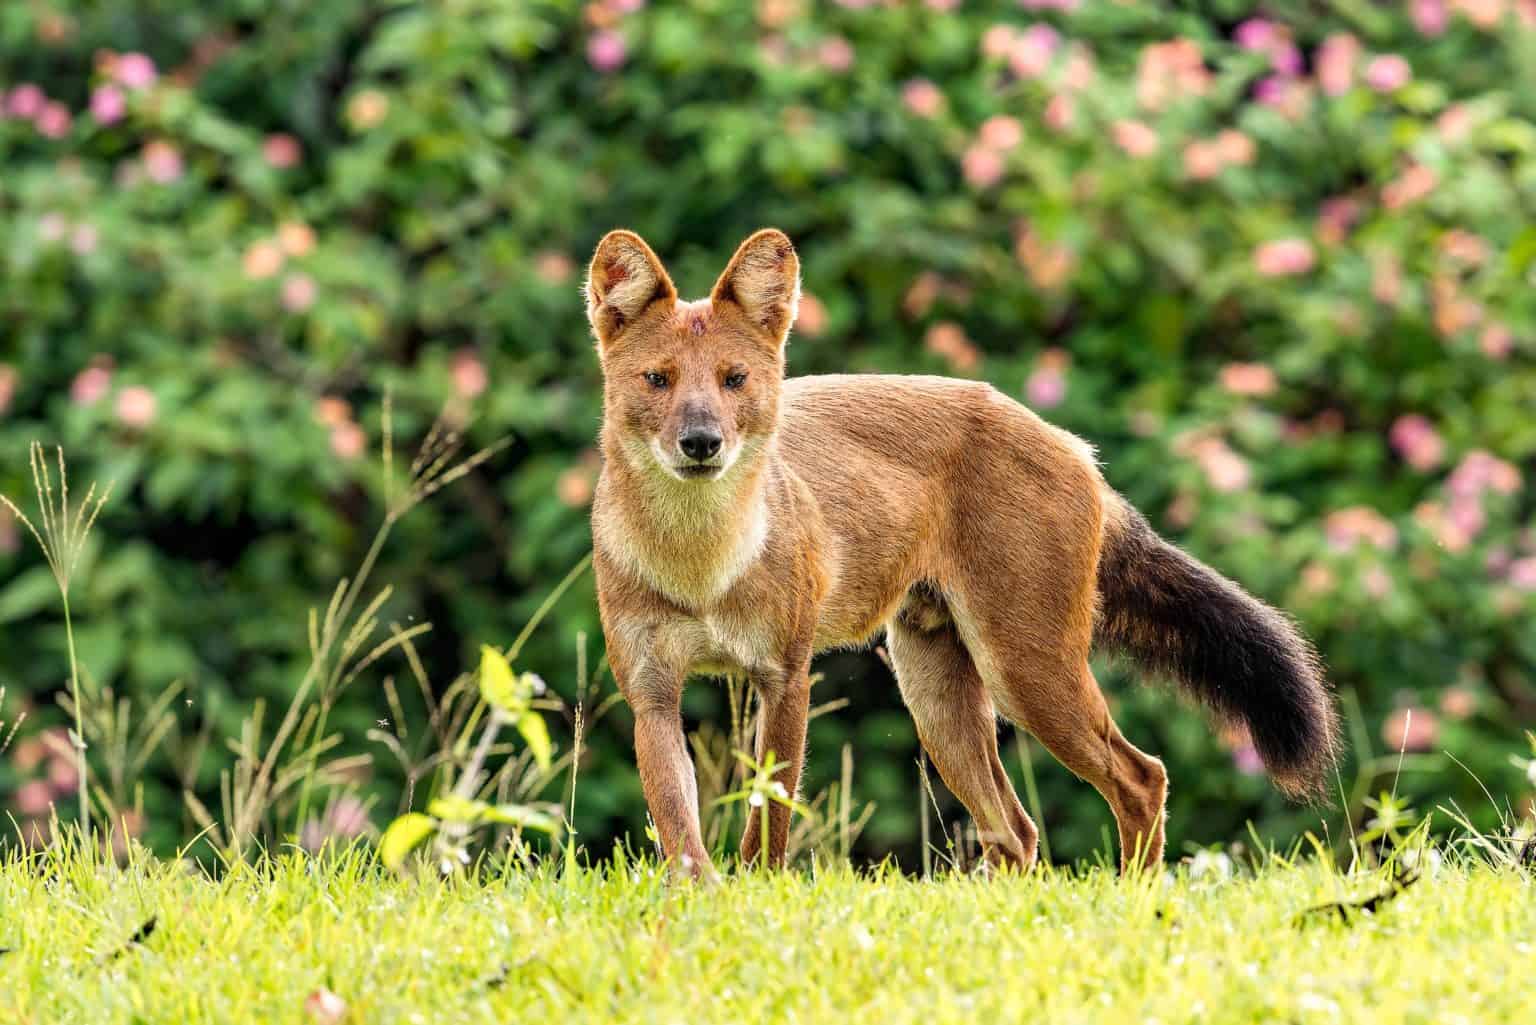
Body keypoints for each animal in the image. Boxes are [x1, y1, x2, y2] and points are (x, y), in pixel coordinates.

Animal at [583, 230, 1333, 885]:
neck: (701, 565)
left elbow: (768, 818)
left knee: (1140, 776)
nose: (701, 441)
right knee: (1017, 831)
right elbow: (677, 823)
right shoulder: (651, 692)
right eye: (658, 379)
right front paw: (697, 899)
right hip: (936, 691)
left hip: (1026, 670)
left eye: (734, 380)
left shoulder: (784, 676)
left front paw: (755, 894)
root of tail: (1072, 444)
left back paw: (1134, 898)